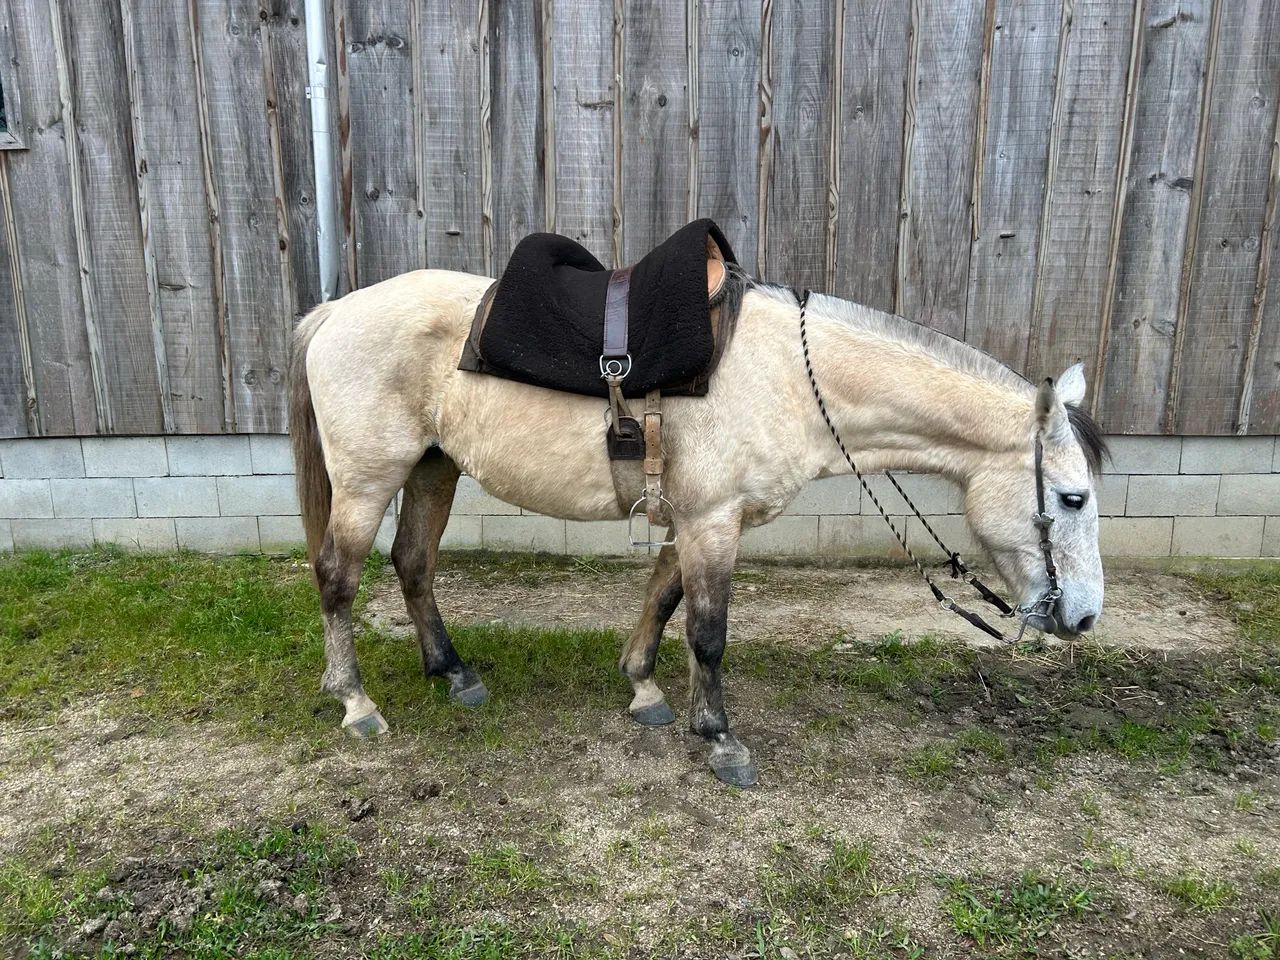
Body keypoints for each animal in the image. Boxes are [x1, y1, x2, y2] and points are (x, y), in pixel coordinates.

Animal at [288, 266, 1105, 787]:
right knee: (338, 578)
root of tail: (334, 312)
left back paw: (453, 672)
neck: (790, 377)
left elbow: (663, 601)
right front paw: (720, 740)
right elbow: (708, 632)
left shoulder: (696, 519)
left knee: (413, 564)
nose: (1085, 616)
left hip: (433, 467)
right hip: (368, 479)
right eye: (1072, 499)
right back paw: (356, 703)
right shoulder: (713, 521)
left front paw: (646, 691)